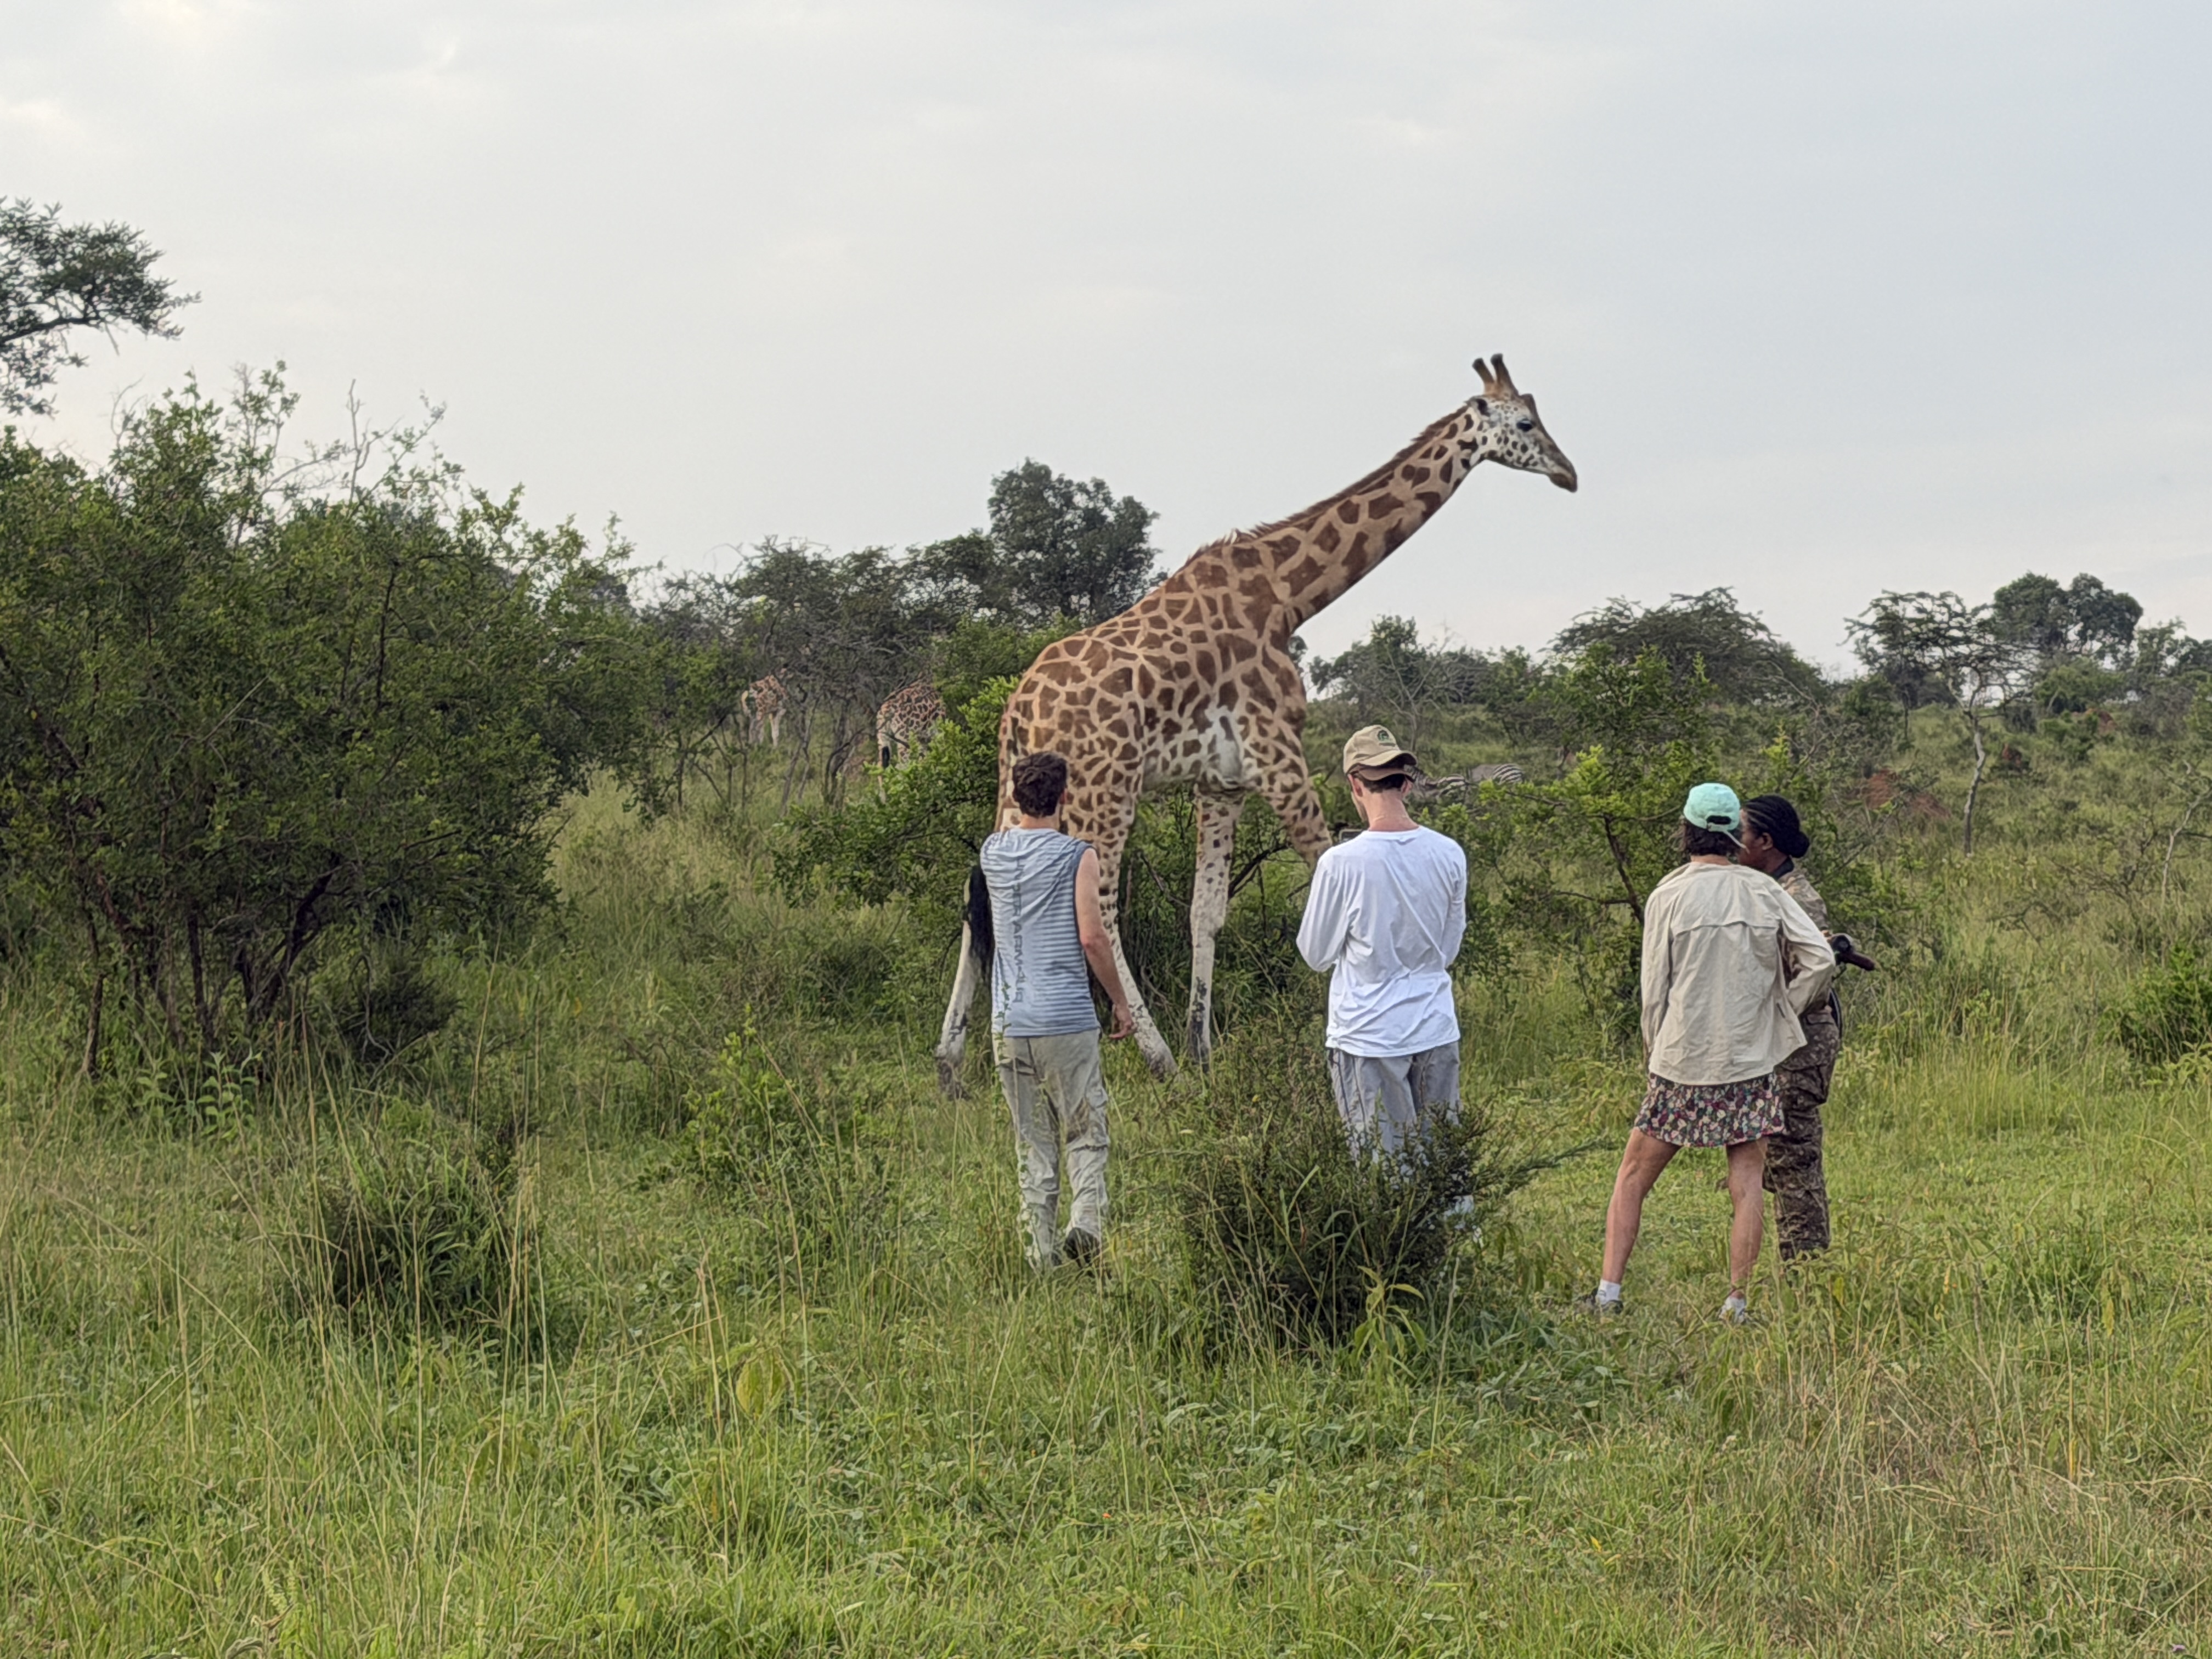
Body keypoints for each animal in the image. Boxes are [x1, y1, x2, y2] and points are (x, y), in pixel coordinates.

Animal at [741, 674, 787, 747]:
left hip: (753, 715)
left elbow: (774, 733)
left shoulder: (773, 712)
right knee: (756, 731)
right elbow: (776, 733)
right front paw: (776, 747)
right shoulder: (779, 710)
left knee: (753, 731)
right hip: (759, 714)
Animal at [876, 680, 949, 768]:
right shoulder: (938, 726)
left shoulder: (924, 738)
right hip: (907, 740)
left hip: (885, 741)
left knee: (881, 765)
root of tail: (883, 713)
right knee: (902, 765)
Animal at [935, 356, 1577, 1090]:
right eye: (1525, 425)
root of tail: (1018, 708)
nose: (1568, 473)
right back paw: (1151, 1055)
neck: (1289, 595)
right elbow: (1326, 866)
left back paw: (961, 1060)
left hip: (1019, 787)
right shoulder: (1279, 755)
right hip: (1105, 787)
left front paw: (1205, 1049)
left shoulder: (1224, 781)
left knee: (980, 891)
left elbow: (1206, 912)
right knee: (1099, 903)